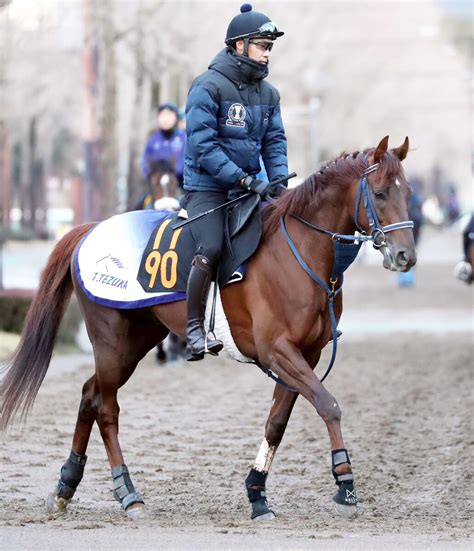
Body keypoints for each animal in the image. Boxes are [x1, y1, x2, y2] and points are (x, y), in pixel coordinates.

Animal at [0, 135, 414, 520]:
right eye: (379, 193)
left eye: (407, 193)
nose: (405, 256)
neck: (299, 253)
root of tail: (88, 229)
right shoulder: (278, 351)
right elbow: (329, 405)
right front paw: (345, 484)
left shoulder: (305, 354)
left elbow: (277, 423)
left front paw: (257, 493)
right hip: (112, 342)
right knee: (106, 408)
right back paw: (128, 494)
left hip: (136, 340)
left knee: (90, 394)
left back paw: (65, 487)